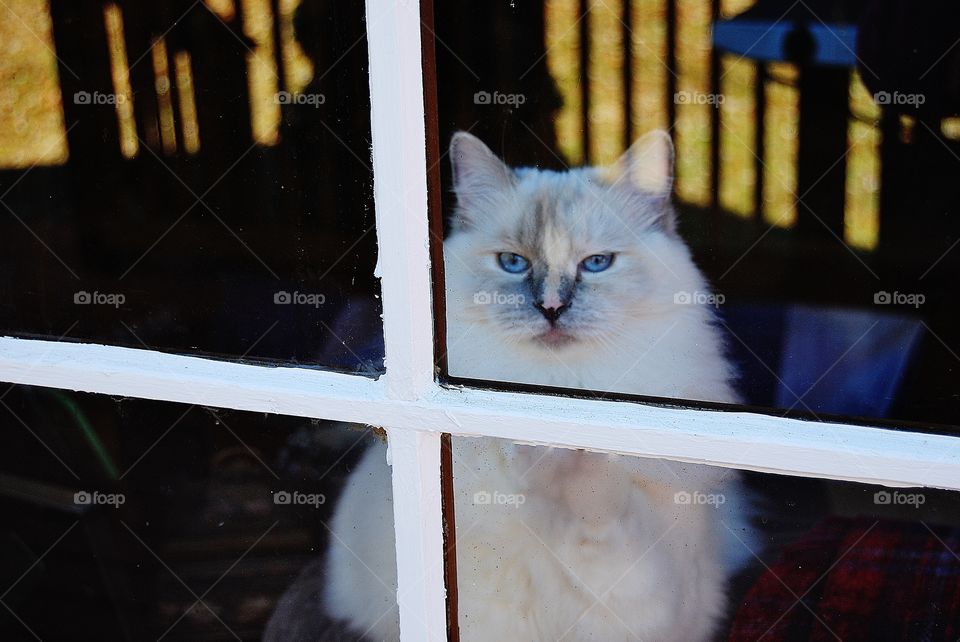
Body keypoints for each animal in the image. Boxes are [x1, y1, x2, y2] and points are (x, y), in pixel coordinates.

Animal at [326, 130, 752, 640]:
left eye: (597, 263)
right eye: (512, 263)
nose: (551, 308)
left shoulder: (647, 595)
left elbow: (603, 523)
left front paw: (569, 459)